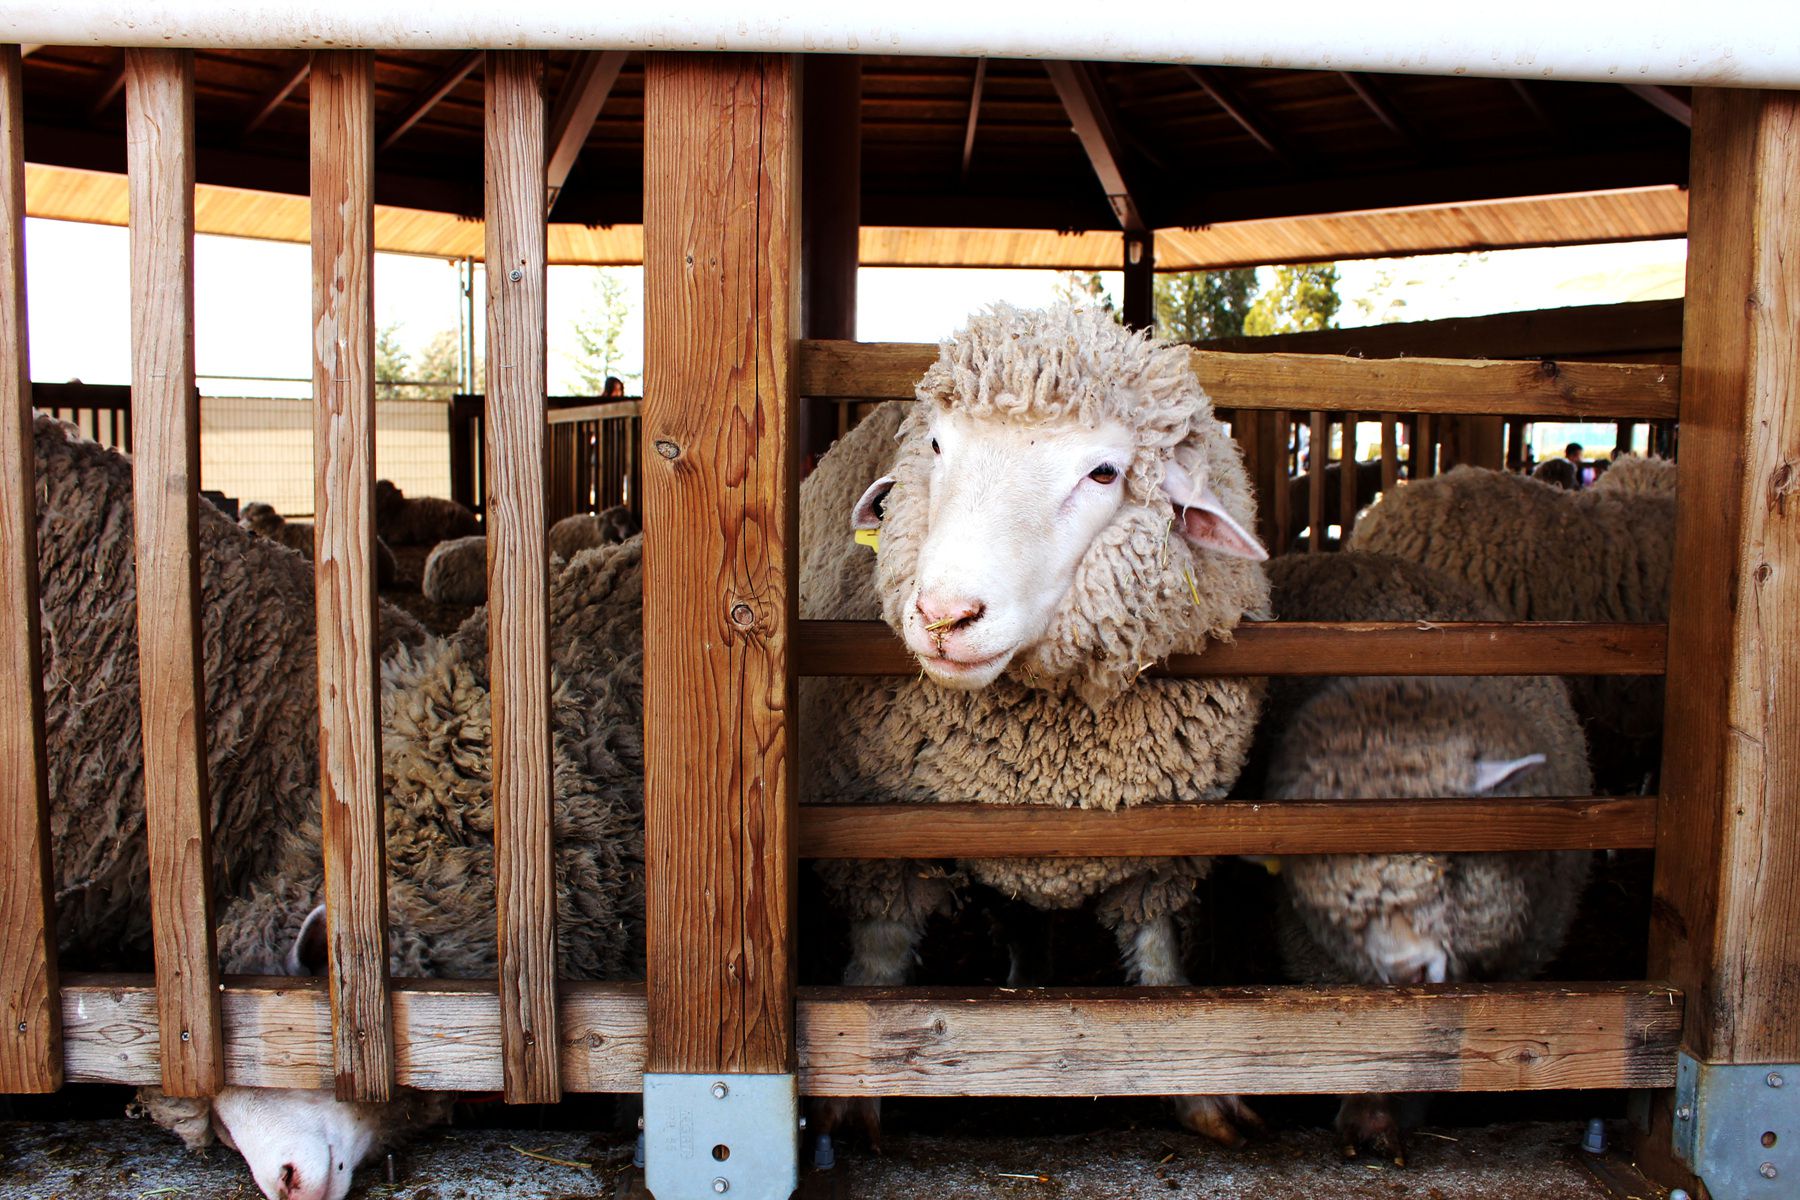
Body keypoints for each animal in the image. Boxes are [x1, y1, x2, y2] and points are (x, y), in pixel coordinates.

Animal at [800, 304, 1271, 1146]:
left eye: (1104, 473)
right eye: (936, 446)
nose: (944, 614)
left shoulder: (1164, 844)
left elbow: (1158, 956)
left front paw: (1200, 1092)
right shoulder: (875, 835)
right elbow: (881, 957)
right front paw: (850, 1105)